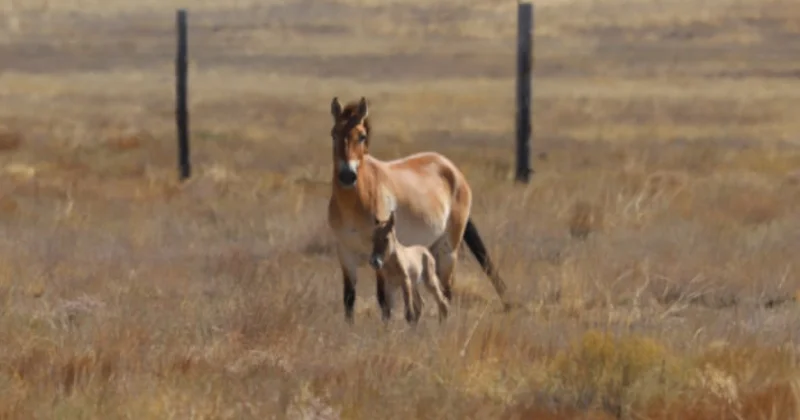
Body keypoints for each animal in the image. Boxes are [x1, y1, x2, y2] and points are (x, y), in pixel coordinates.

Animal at [326, 96, 510, 324]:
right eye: (334, 133)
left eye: (362, 136)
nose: (347, 175)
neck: (355, 202)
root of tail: (452, 169)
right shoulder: (346, 255)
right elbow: (349, 300)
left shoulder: (379, 256)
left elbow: (383, 300)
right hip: (427, 251)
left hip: (448, 251)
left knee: (445, 293)